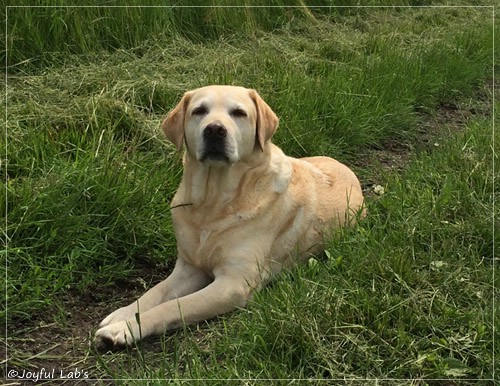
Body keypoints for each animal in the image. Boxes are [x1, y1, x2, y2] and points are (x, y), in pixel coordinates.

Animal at [94, 86, 366, 352]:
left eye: (239, 113)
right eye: (199, 111)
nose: (214, 130)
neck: (214, 202)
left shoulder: (233, 283)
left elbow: (173, 306)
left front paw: (125, 329)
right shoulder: (189, 268)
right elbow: (156, 292)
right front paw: (123, 314)